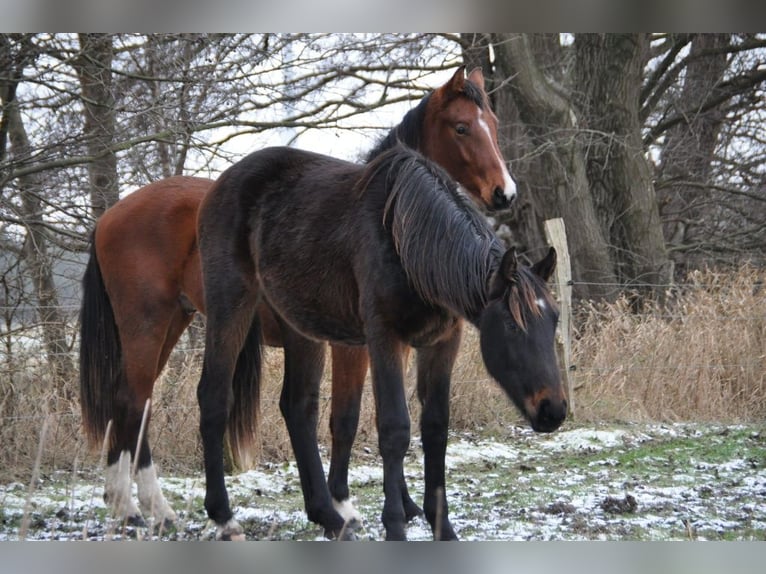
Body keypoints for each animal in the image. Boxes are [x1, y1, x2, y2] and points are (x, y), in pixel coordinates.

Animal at [79, 66, 520, 532]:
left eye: (493, 124)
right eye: (461, 127)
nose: (505, 193)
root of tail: (108, 218)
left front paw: (401, 504)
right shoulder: (355, 346)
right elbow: (345, 417)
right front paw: (345, 502)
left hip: (171, 324)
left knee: (132, 403)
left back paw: (134, 504)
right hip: (152, 325)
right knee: (134, 401)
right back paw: (142, 506)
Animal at [195, 146, 568, 544]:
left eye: (554, 319)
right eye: (512, 326)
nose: (553, 410)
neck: (410, 242)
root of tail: (221, 184)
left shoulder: (442, 343)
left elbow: (436, 428)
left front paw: (443, 528)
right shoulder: (384, 338)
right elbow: (394, 429)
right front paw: (395, 526)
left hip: (300, 326)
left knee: (298, 408)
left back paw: (329, 516)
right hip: (230, 303)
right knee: (214, 397)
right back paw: (223, 516)